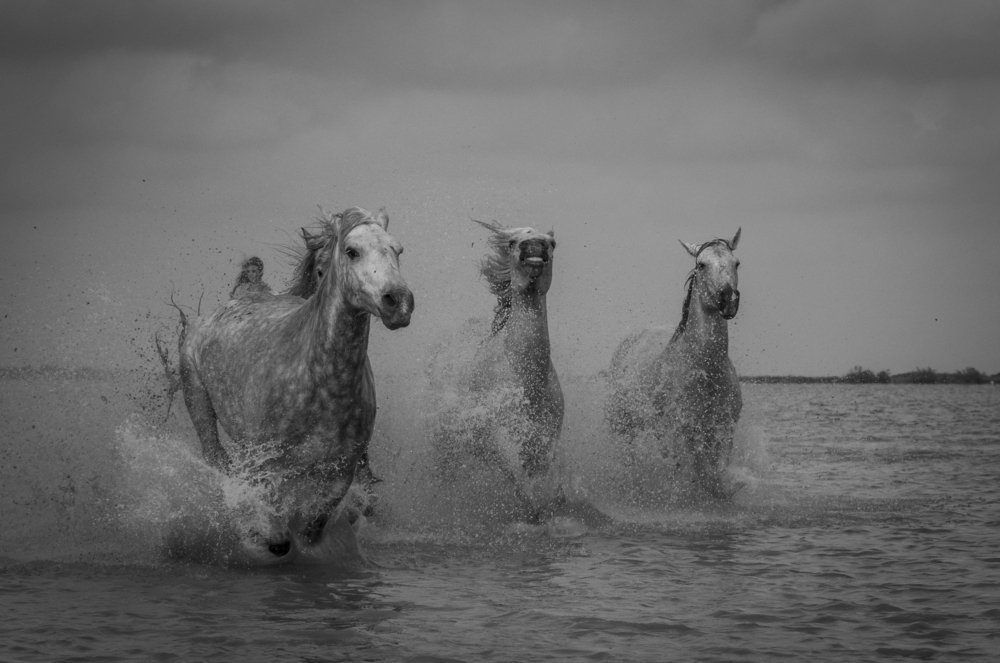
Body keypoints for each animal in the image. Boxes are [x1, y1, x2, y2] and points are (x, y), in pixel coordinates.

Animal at [174, 207, 414, 558]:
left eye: (397, 250)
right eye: (351, 251)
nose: (398, 301)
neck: (322, 386)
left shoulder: (340, 471)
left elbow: (311, 528)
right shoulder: (268, 466)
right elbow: (278, 531)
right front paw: (260, 537)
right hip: (199, 402)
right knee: (216, 456)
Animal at [432, 220, 563, 520]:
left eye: (551, 243)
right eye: (513, 243)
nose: (534, 247)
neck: (526, 378)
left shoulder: (544, 439)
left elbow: (546, 481)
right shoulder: (497, 436)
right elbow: (519, 479)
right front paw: (531, 512)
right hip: (446, 443)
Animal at [605, 228, 742, 499]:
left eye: (736, 263)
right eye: (701, 264)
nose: (728, 299)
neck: (705, 372)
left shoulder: (723, 431)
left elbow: (715, 476)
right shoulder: (683, 433)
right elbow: (696, 474)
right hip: (625, 426)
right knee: (629, 457)